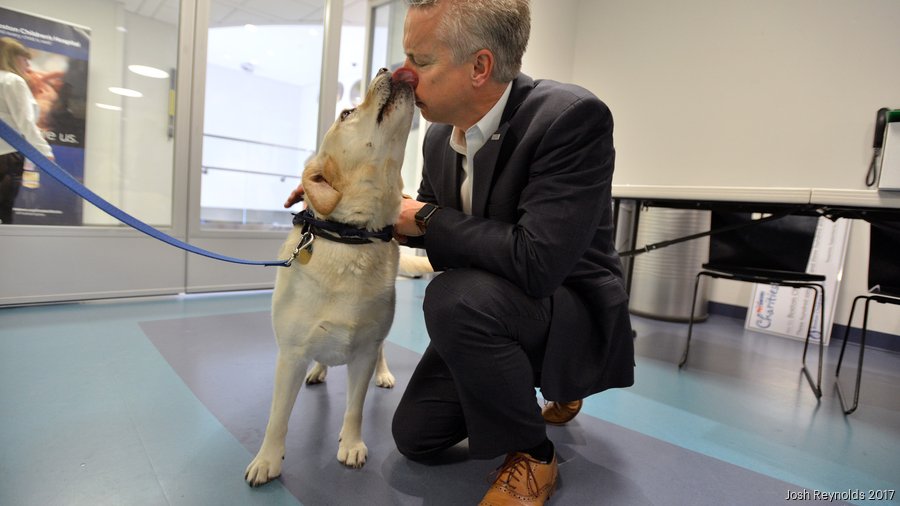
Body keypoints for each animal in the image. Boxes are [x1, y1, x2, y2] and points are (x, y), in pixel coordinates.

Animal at [244, 67, 416, 486]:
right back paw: (319, 370)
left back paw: (384, 374)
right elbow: (277, 418)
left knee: (382, 353)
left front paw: (351, 444)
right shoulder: (290, 355)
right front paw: (267, 460)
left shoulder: (365, 349)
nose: (386, 69)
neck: (352, 235)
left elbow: (354, 408)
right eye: (347, 112)